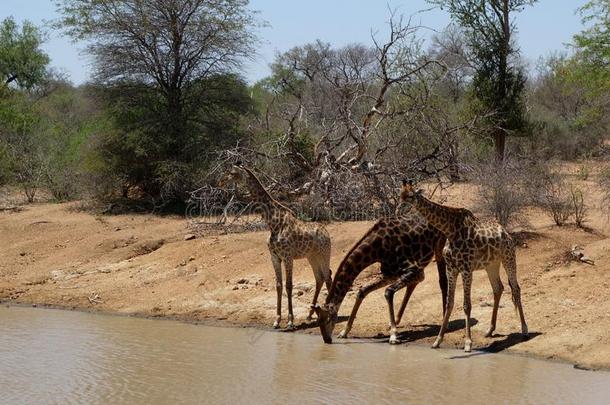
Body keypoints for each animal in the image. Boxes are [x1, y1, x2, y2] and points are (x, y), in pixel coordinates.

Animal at [221, 163, 330, 328]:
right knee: (320, 278)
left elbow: (289, 285)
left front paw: (290, 321)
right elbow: (279, 285)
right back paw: (310, 315)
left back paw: (331, 311)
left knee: (328, 276)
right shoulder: (274, 257)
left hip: (324, 254)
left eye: (232, 173)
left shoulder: (288, 256)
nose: (220, 182)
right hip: (312, 256)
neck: (273, 223)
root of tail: (327, 233)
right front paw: (277, 320)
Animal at [312, 213, 444, 342]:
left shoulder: (413, 270)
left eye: (327, 319)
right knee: (414, 284)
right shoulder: (390, 273)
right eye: (318, 321)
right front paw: (344, 332)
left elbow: (388, 292)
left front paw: (393, 335)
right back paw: (396, 321)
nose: (327, 340)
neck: (378, 248)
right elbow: (362, 291)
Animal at [396, 181, 524, 352]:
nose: (398, 211)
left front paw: (468, 343)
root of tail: (506, 233)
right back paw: (490, 330)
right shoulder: (452, 268)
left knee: (516, 288)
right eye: (400, 196)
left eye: (410, 196)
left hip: (508, 258)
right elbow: (449, 303)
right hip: (491, 265)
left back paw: (524, 329)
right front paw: (437, 340)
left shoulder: (466, 269)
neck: (449, 230)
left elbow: (466, 305)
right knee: (498, 288)